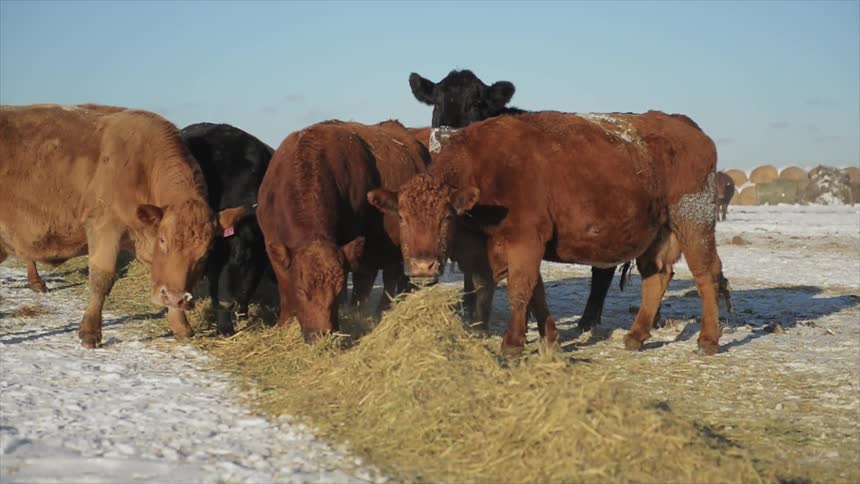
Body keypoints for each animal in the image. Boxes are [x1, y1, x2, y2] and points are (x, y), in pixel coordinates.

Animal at [0, 104, 250, 348]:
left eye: (206, 252)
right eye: (163, 240)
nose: (174, 297)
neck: (141, 168)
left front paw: (180, 325)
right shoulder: (105, 227)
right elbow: (101, 280)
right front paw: (90, 332)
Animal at [179, 123, 274, 335]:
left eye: (243, 258)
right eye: (216, 251)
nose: (226, 301)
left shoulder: (259, 254)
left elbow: (249, 285)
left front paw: (241, 315)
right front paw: (224, 326)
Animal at [257, 119, 431, 341]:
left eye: (338, 291)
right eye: (302, 291)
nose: (321, 334)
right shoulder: (272, 245)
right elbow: (285, 290)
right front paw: (283, 326)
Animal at [368, 111, 728, 356]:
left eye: (445, 217)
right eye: (402, 217)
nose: (422, 267)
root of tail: (687, 126)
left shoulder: (525, 240)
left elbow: (520, 290)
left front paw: (512, 344)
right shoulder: (523, 246)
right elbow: (536, 293)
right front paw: (550, 339)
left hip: (693, 221)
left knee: (706, 274)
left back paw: (708, 339)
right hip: (657, 233)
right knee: (657, 276)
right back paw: (636, 336)